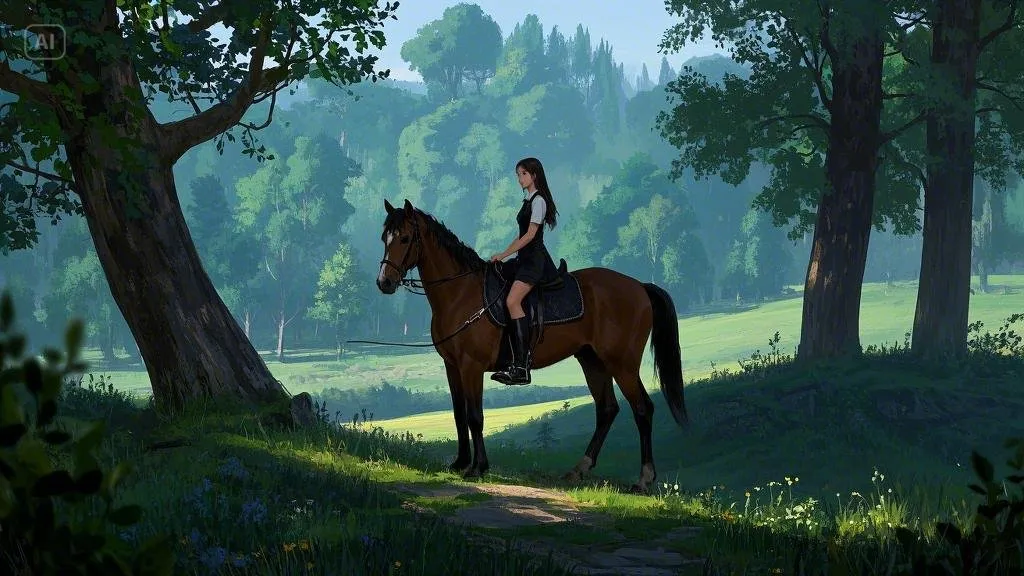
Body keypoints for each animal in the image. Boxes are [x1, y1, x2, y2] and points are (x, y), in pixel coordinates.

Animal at [375, 198, 688, 493]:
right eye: (384, 238)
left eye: (404, 238)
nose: (384, 282)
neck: (460, 293)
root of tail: (639, 286)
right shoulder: (452, 366)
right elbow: (459, 414)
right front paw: (460, 463)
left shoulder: (471, 366)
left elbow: (475, 417)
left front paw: (478, 467)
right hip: (592, 361)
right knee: (607, 409)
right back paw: (579, 469)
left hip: (622, 364)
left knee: (642, 409)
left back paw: (643, 479)